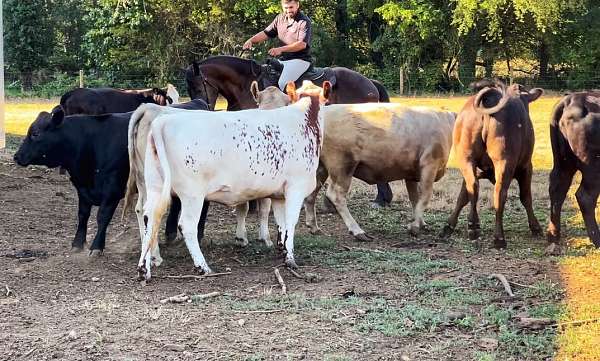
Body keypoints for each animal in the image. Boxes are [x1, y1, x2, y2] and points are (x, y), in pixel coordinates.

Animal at [12, 100, 210, 255]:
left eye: (35, 134)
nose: (16, 156)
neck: (91, 143)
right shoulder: (82, 188)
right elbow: (83, 215)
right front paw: (77, 243)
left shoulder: (113, 188)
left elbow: (102, 216)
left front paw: (96, 247)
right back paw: (170, 234)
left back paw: (198, 234)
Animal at [133, 81, 330, 278]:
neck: (304, 119)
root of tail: (163, 122)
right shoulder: (296, 188)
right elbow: (290, 222)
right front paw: (290, 259)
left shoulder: (279, 194)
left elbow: (281, 224)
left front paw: (281, 250)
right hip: (192, 194)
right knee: (187, 225)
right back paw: (202, 266)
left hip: (155, 187)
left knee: (149, 217)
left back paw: (144, 268)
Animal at [440, 81, 544, 248]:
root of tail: (490, 97)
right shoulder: (527, 166)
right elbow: (526, 197)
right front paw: (535, 227)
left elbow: (463, 196)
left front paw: (450, 225)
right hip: (504, 162)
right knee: (499, 194)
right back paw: (499, 238)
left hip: (466, 159)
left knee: (473, 187)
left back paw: (473, 226)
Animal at [548, 91, 600, 249]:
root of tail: (571, 99)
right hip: (593, 167)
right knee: (585, 197)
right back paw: (597, 239)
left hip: (564, 162)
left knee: (557, 188)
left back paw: (553, 235)